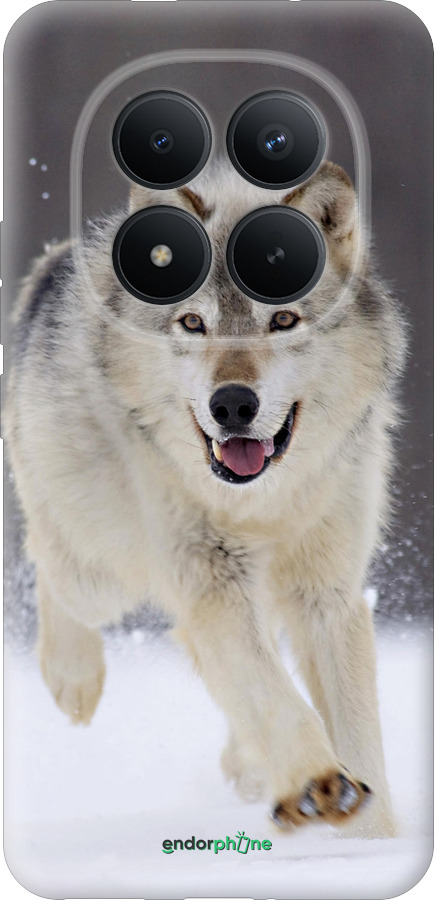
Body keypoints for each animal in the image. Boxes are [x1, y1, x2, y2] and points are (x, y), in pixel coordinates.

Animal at [5, 160, 406, 837]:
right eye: (193, 323)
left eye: (283, 321)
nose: (233, 405)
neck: (263, 503)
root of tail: (54, 264)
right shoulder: (211, 580)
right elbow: (275, 696)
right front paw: (319, 784)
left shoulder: (327, 595)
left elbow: (355, 734)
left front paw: (370, 837)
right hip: (102, 572)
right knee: (49, 561)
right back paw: (73, 680)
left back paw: (249, 766)